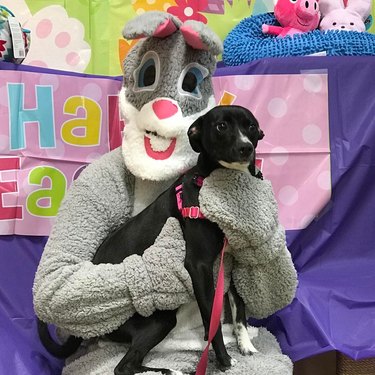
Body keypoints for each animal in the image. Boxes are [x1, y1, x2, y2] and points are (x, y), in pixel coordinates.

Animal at [38, 105, 266, 375]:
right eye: (221, 126)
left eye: (251, 126)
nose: (246, 148)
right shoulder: (198, 265)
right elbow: (213, 323)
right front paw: (225, 361)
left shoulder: (229, 261)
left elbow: (239, 306)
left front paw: (245, 343)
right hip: (160, 319)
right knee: (123, 366)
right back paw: (172, 371)